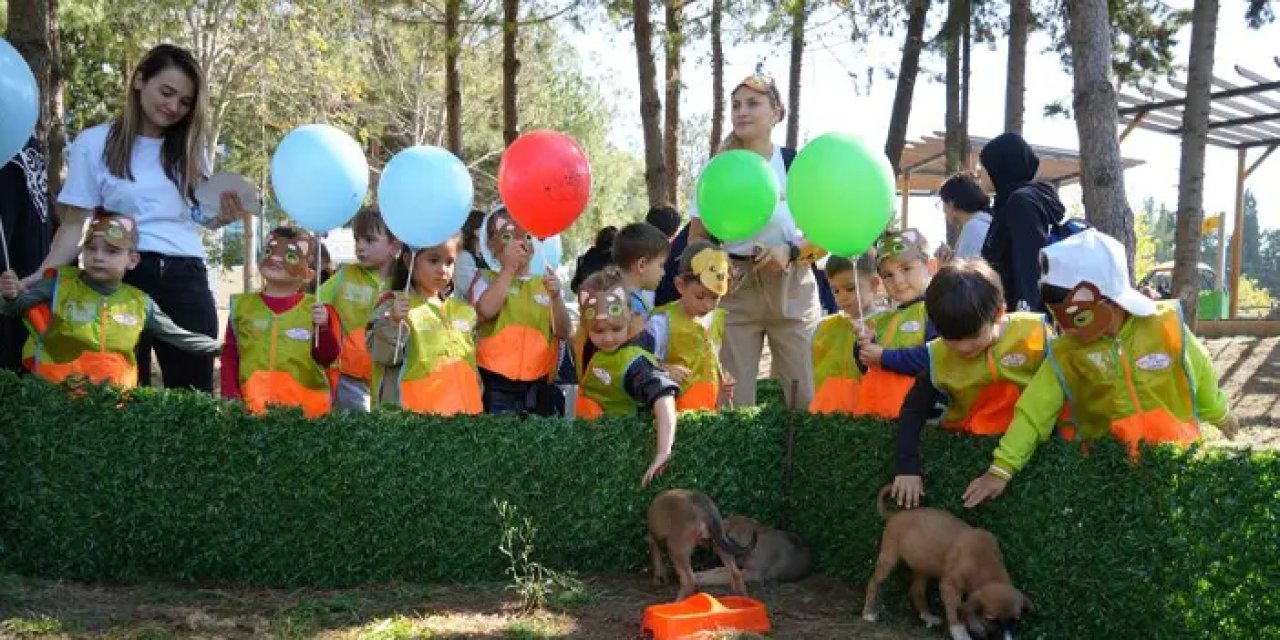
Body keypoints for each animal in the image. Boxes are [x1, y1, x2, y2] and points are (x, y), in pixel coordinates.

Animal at [860, 483, 1029, 640]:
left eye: (1015, 621)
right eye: (992, 620)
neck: (984, 564)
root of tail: (895, 514)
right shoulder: (949, 586)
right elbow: (955, 611)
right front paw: (961, 634)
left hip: (924, 567)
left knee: (916, 591)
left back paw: (928, 616)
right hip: (889, 558)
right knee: (873, 582)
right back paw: (868, 613)